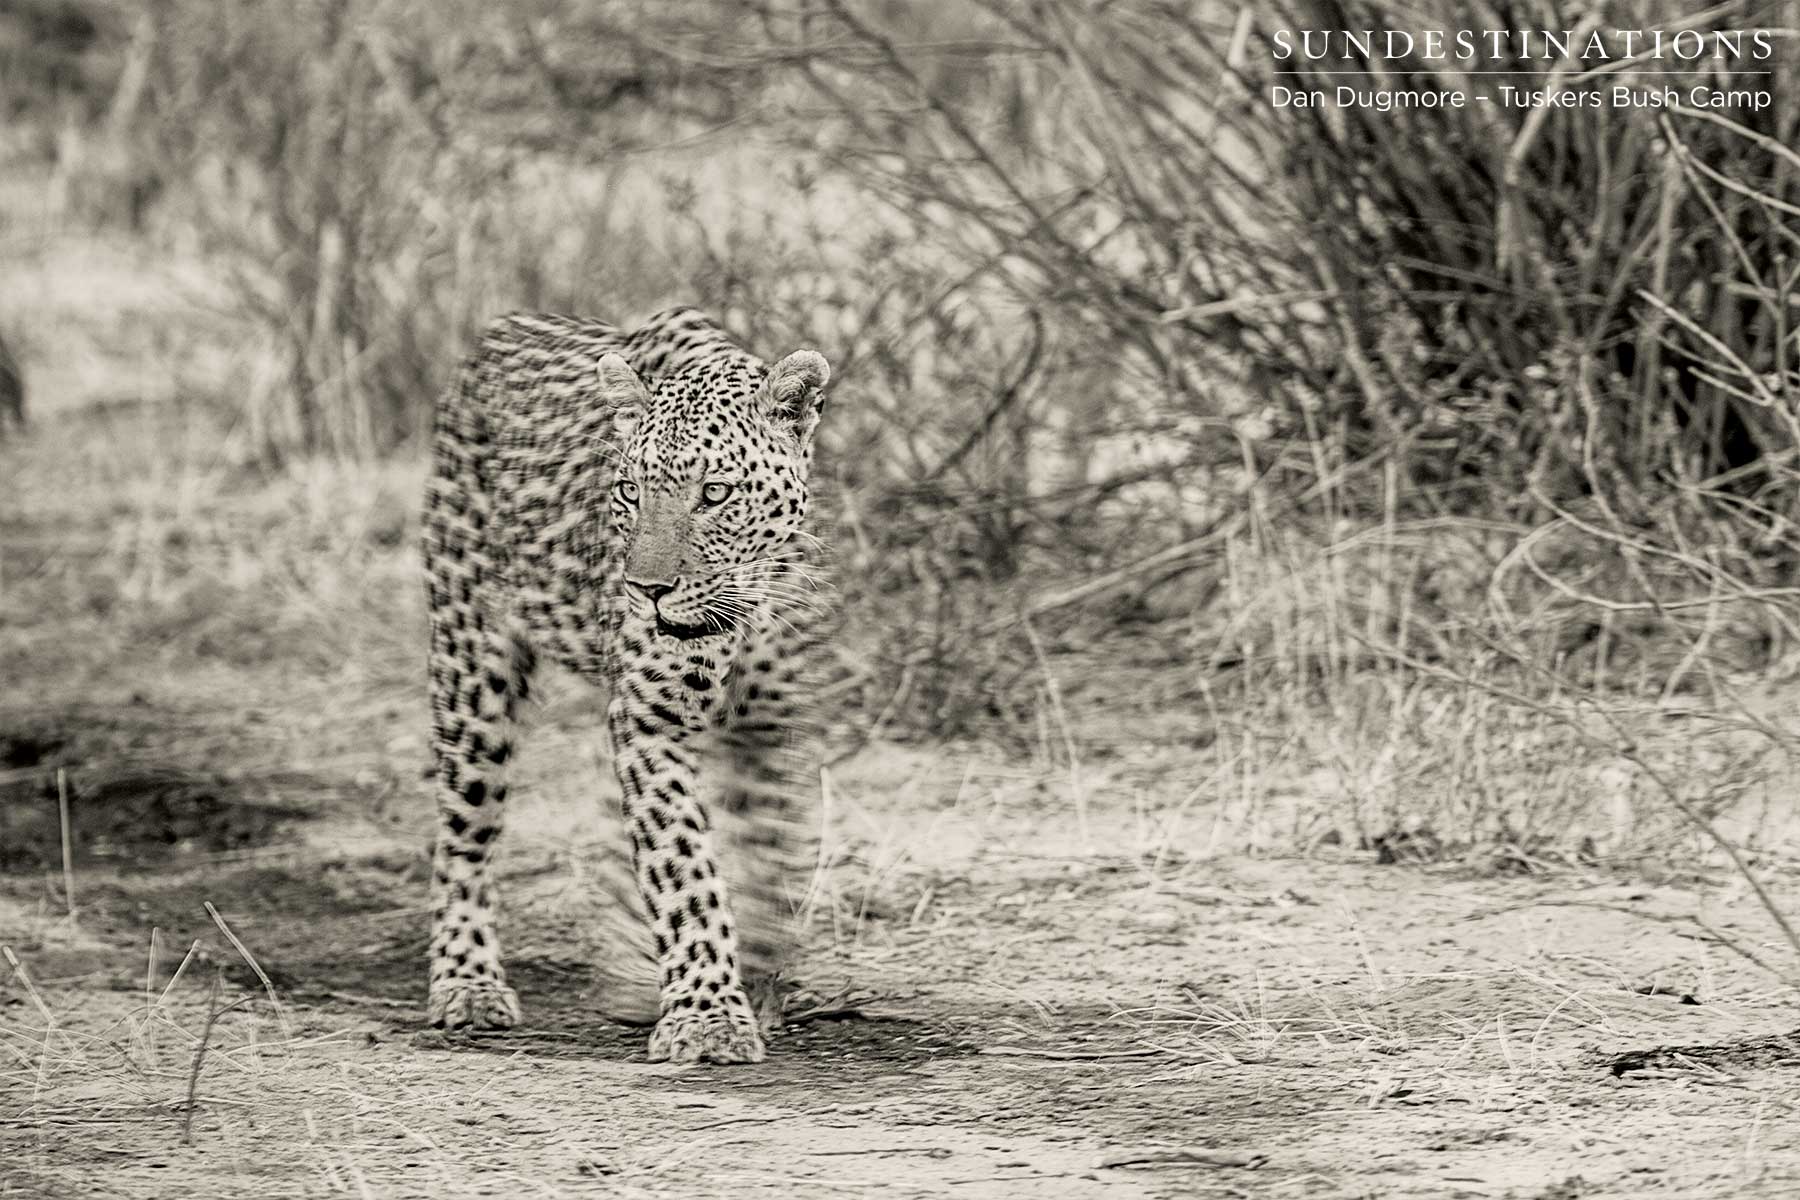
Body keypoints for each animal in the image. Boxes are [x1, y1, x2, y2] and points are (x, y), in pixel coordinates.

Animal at [421, 306, 834, 1065]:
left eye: (715, 493)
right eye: (630, 491)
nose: (646, 590)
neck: (748, 605)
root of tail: (497, 331)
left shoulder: (771, 723)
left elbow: (772, 849)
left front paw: (759, 979)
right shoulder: (651, 721)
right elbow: (685, 866)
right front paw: (708, 1015)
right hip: (471, 667)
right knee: (465, 835)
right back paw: (467, 983)